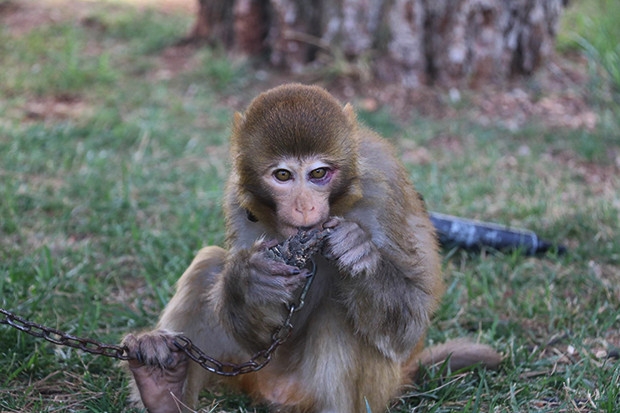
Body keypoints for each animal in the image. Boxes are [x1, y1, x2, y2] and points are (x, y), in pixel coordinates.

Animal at [121, 83, 498, 412]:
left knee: (340, 312)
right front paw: (249, 280)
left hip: (365, 391)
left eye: (319, 173)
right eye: (283, 176)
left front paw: (359, 252)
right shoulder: (237, 196)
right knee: (210, 265)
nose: (304, 207)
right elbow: (258, 336)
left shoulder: (383, 185)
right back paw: (162, 391)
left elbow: (410, 322)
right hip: (251, 370)